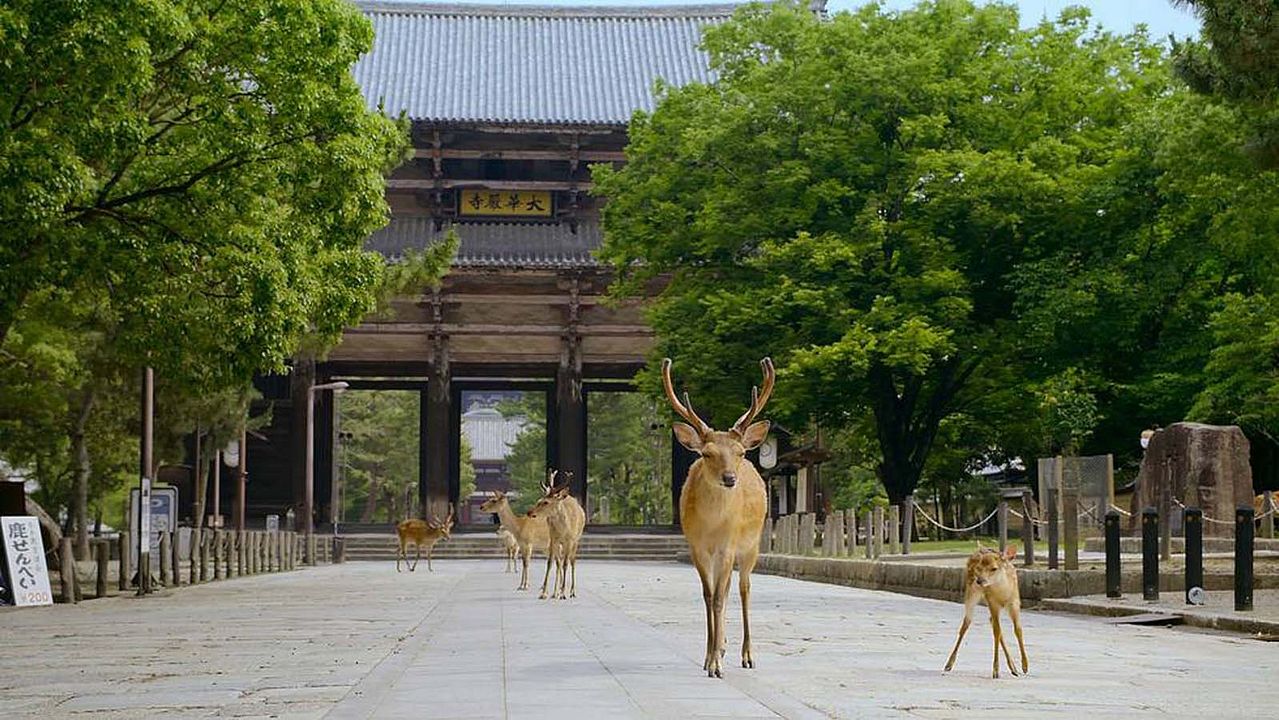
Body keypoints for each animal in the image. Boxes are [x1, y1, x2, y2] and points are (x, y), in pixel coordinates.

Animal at [526, 470, 585, 601]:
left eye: (546, 502)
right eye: (538, 500)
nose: (529, 512)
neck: (563, 529)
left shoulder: (569, 540)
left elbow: (566, 563)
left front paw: (563, 593)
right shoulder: (553, 539)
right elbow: (550, 562)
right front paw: (544, 593)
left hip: (576, 540)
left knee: (572, 561)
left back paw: (572, 592)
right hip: (558, 543)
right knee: (558, 561)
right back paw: (555, 593)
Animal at [665, 358, 772, 680]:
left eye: (740, 452)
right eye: (706, 453)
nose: (729, 478)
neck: (712, 526)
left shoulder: (728, 544)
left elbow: (721, 597)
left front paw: (716, 664)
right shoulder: (696, 547)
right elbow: (708, 595)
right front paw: (710, 658)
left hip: (751, 545)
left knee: (744, 588)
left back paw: (747, 655)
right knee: (723, 589)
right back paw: (722, 648)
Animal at [946, 547, 1033, 680]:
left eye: (994, 568)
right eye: (979, 568)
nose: (979, 580)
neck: (1002, 593)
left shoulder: (1015, 602)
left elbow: (1018, 629)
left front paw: (1025, 666)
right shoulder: (992, 602)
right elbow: (997, 631)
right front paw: (995, 671)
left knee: (991, 621)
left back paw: (1013, 668)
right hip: (971, 593)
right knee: (966, 623)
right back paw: (948, 664)